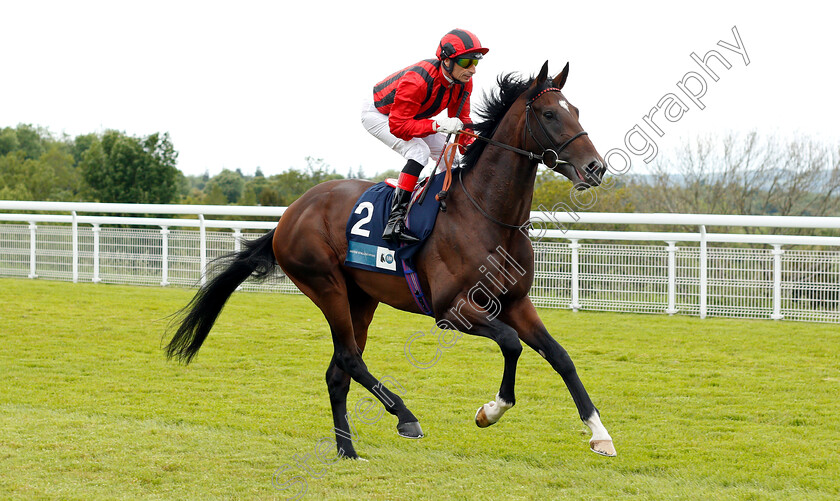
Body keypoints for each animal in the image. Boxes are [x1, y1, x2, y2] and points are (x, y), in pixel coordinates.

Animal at [167, 61, 616, 458]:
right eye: (549, 114)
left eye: (575, 110)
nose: (595, 167)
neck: (488, 215)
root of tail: (289, 216)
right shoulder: (450, 310)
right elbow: (510, 343)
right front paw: (490, 411)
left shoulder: (516, 302)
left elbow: (560, 356)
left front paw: (600, 435)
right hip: (325, 284)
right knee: (349, 358)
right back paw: (404, 416)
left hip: (361, 298)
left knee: (338, 371)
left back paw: (348, 451)